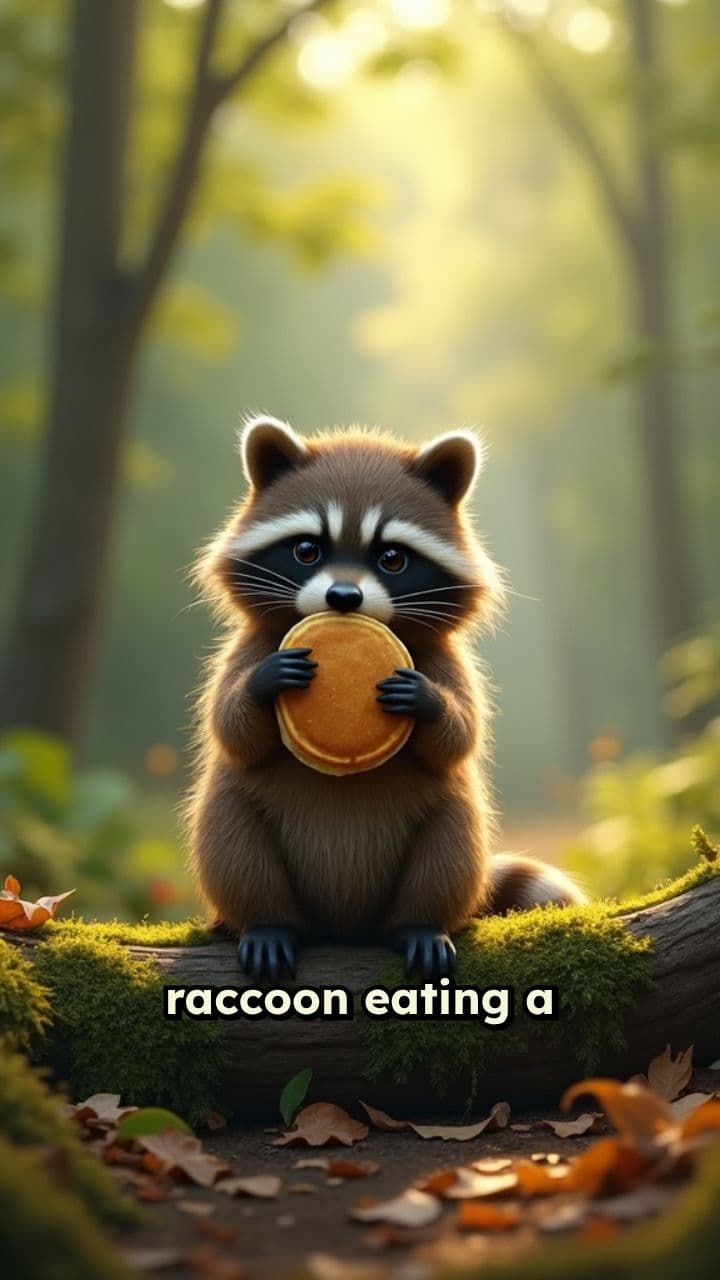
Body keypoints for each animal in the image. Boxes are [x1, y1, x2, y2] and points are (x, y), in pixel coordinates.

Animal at [186, 415, 584, 981]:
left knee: (451, 841)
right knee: (232, 837)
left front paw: (429, 701)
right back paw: (266, 923)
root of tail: (345, 928)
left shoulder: (444, 657)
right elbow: (231, 726)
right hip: (239, 824)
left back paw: (420, 926)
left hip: (442, 831)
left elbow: (460, 736)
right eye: (307, 550)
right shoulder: (249, 643)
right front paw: (264, 682)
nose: (343, 598)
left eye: (392, 558)